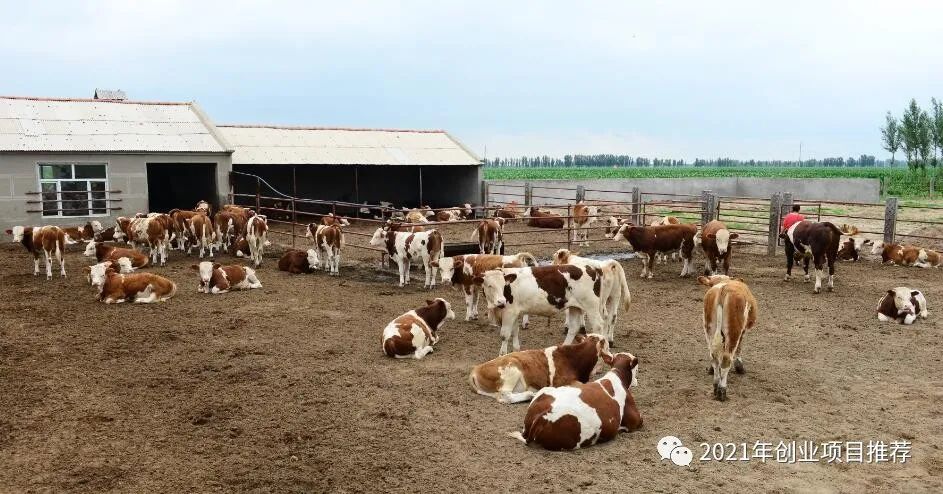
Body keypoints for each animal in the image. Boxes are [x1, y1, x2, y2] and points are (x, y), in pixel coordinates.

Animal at [472, 332, 612, 406]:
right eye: (607, 346)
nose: (611, 356)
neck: (573, 358)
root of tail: (476, 369)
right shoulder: (561, 382)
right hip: (512, 369)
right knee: (506, 396)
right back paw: (530, 394)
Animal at [476, 266, 608, 356]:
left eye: (504, 285)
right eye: (489, 285)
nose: (501, 301)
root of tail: (593, 268)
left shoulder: (509, 312)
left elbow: (505, 335)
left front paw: (501, 355)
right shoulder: (515, 312)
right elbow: (515, 332)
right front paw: (515, 352)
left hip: (591, 306)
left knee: (598, 326)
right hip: (575, 307)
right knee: (573, 328)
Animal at [700, 274, 760, 402]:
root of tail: (723, 288)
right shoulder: (742, 331)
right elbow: (739, 348)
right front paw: (740, 367)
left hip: (709, 329)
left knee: (714, 357)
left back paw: (716, 385)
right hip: (734, 330)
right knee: (726, 359)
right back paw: (722, 390)